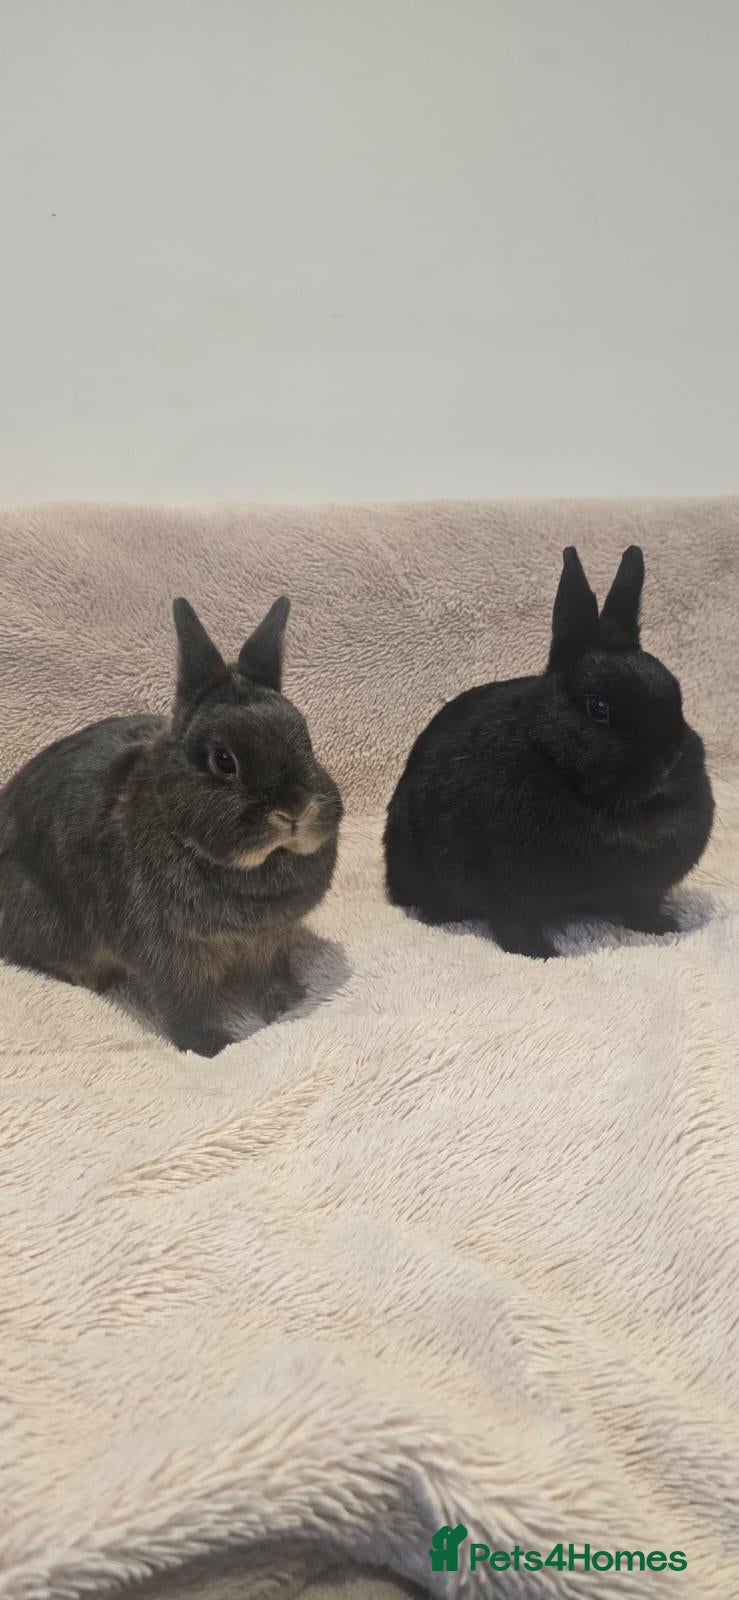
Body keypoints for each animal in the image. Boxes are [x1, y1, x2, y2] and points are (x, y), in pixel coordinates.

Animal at [0, 595, 343, 1054]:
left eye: (306, 738)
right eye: (223, 760)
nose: (295, 809)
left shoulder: (270, 939)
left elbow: (270, 972)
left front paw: (287, 1004)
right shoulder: (166, 953)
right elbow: (183, 1002)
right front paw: (213, 1045)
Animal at [384, 545, 714, 958]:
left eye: (677, 695)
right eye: (598, 708)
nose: (669, 763)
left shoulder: (644, 888)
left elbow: (640, 907)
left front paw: (662, 926)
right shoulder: (509, 887)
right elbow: (514, 924)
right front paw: (541, 953)